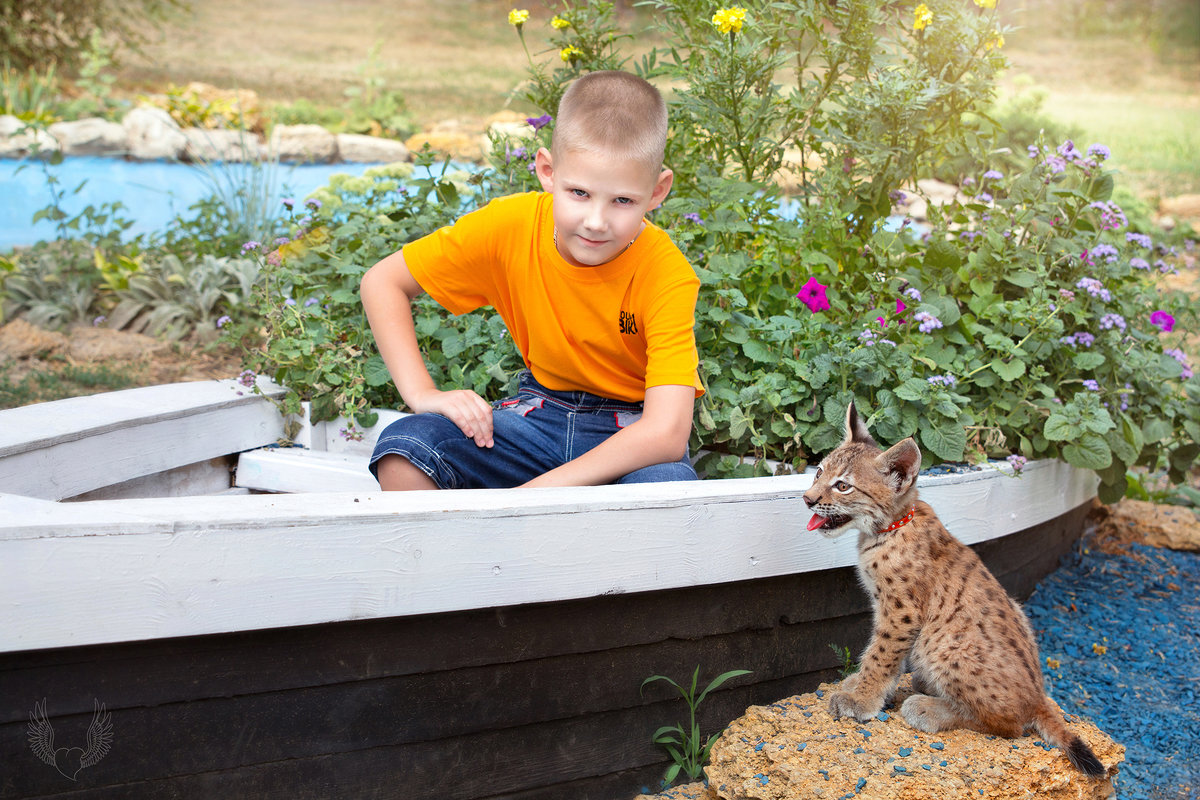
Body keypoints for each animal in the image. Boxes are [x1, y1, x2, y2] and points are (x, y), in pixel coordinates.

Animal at [801, 402, 1099, 777]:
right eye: (818, 473)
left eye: (842, 486)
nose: (807, 499)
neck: (888, 527)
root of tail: (1038, 696)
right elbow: (881, 655)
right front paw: (863, 687)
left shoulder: (900, 612)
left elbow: (881, 654)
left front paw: (861, 699)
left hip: (943, 641)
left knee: (1011, 726)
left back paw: (929, 708)